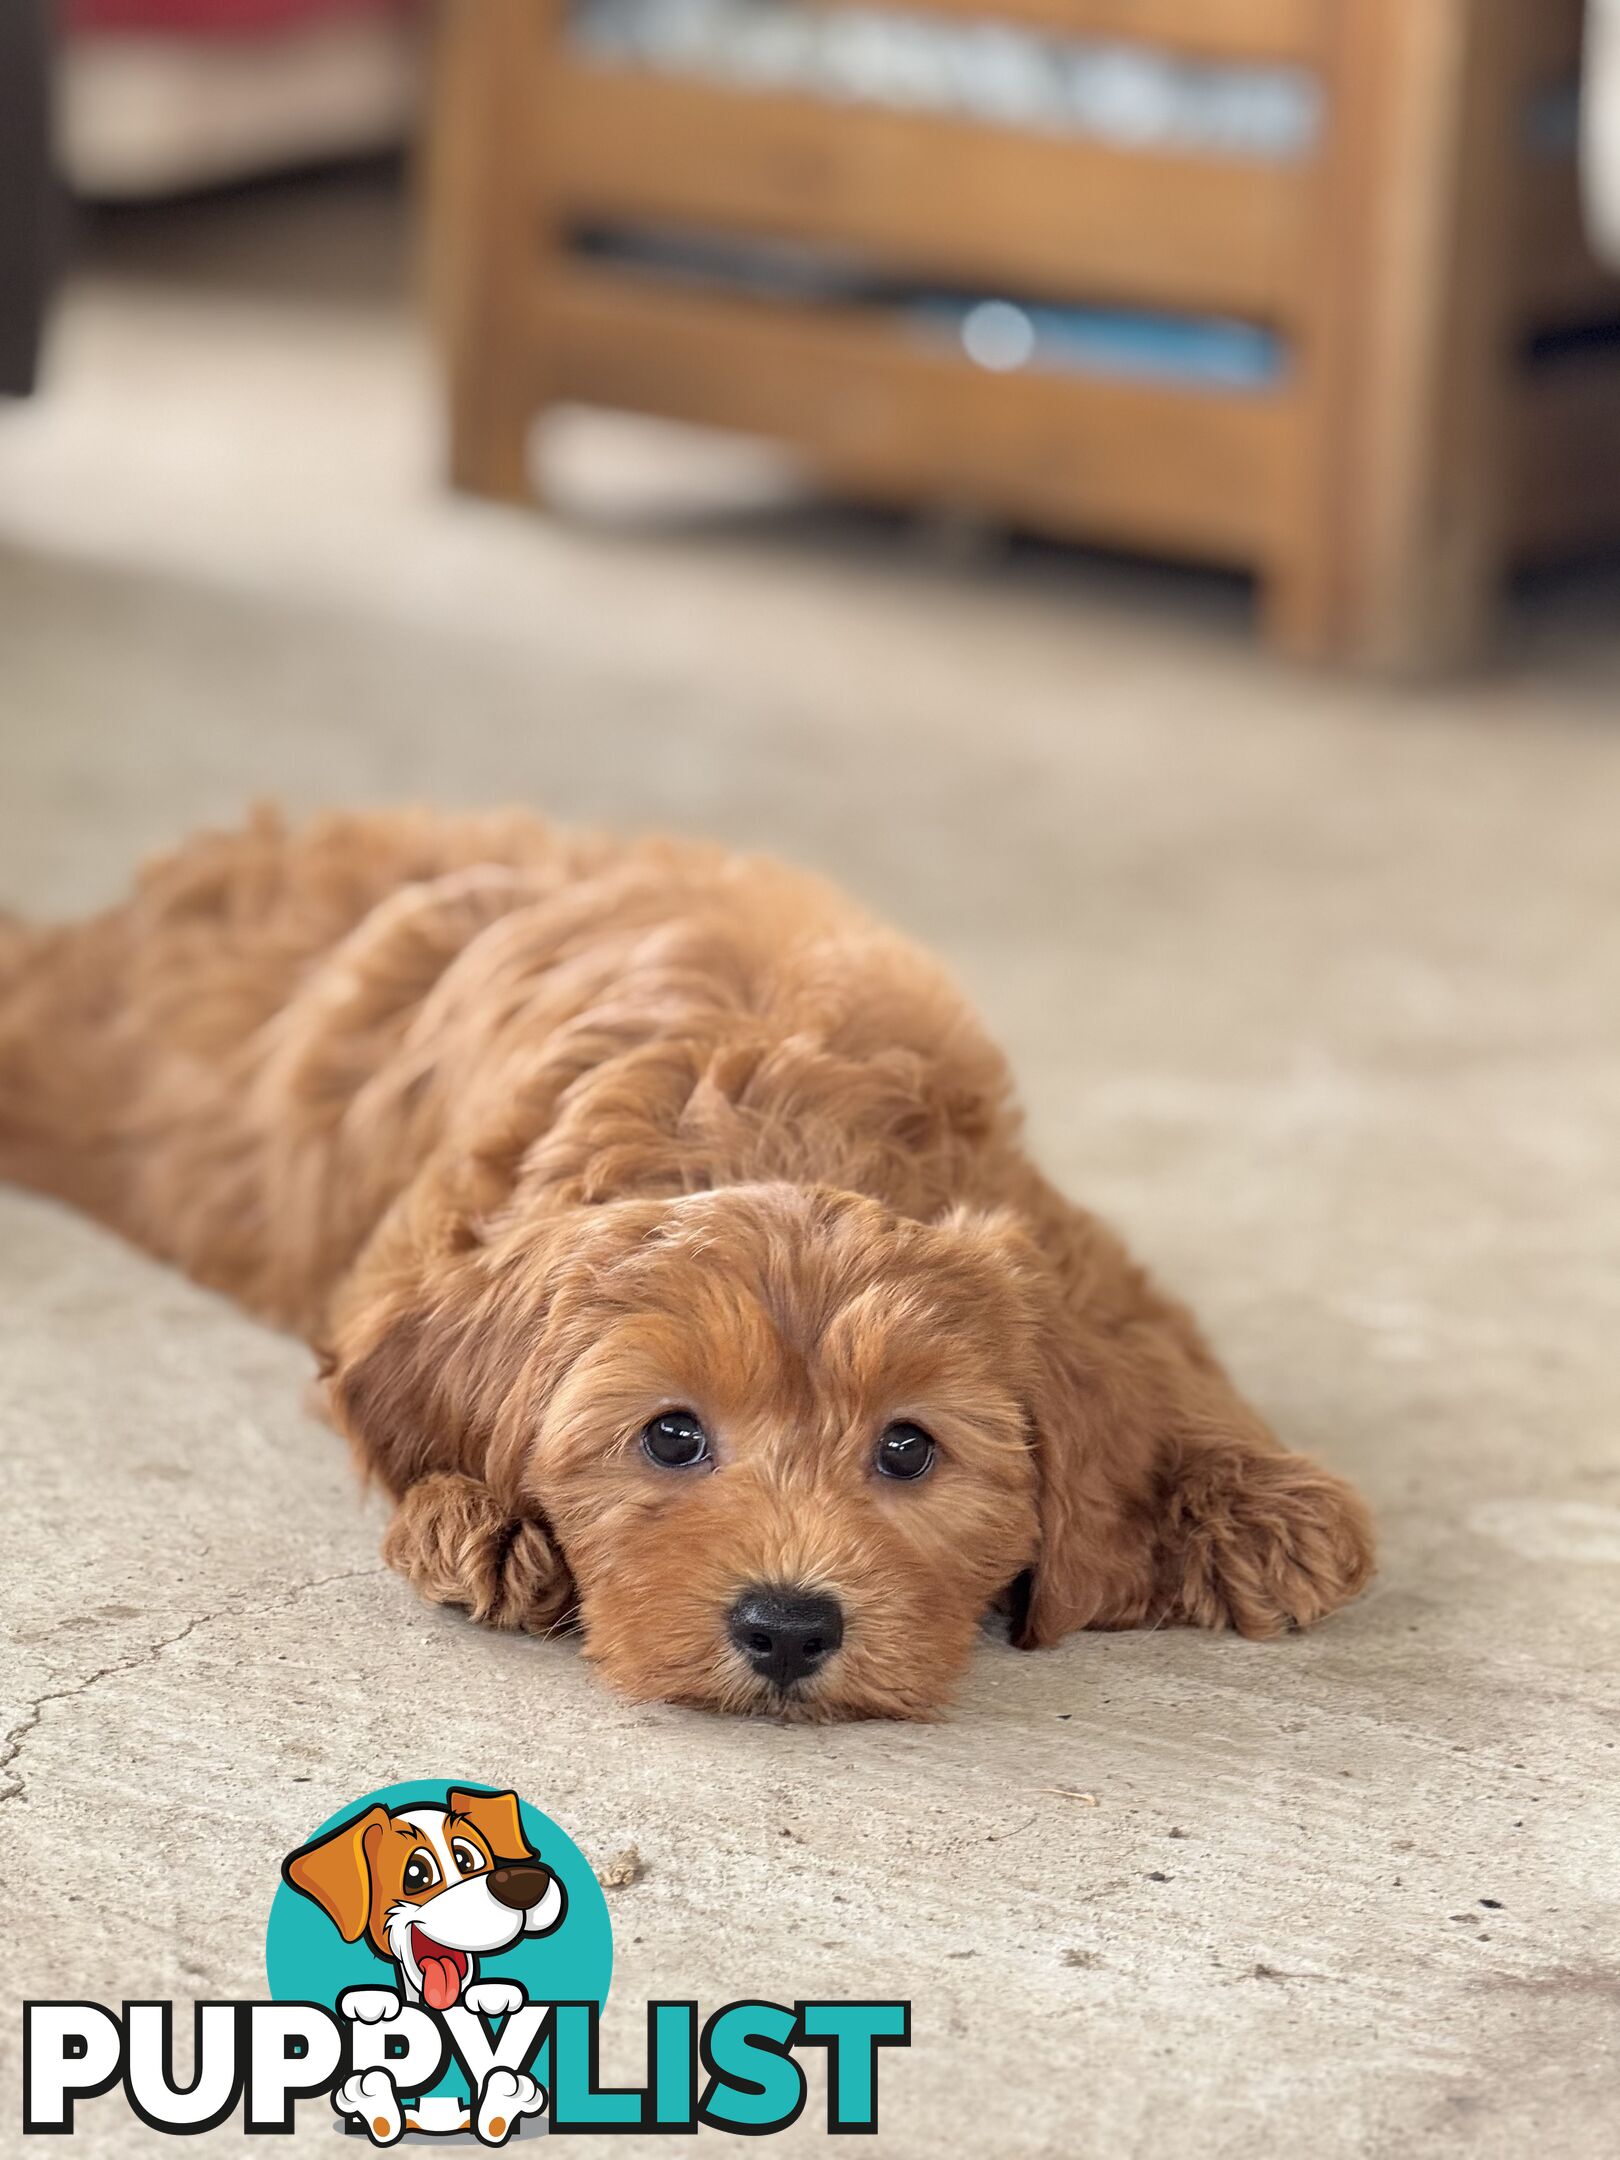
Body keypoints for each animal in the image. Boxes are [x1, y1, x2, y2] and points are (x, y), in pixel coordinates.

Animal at [0, 812, 1373, 1719]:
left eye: (909, 1448)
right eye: (670, 1436)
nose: (787, 1626)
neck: (767, 1093)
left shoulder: (1072, 1240)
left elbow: (1161, 1351)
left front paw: (1256, 1506)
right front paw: (481, 1518)